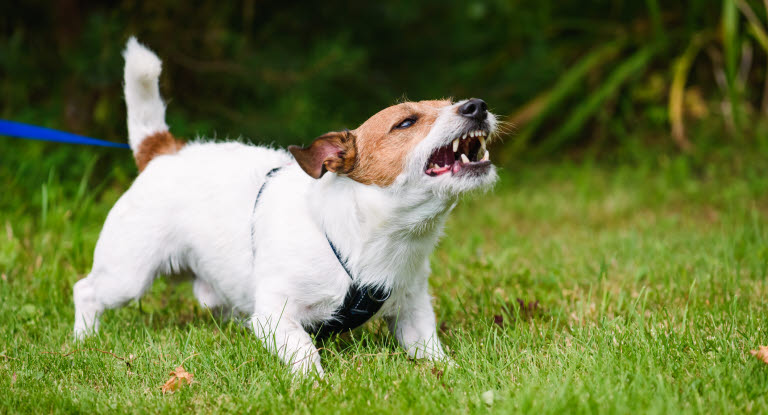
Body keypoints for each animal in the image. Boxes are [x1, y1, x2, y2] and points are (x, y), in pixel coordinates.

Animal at [72, 38, 498, 376]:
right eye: (406, 122)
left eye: (452, 103)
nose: (477, 105)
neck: (369, 237)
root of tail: (163, 151)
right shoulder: (275, 314)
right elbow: (303, 350)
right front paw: (317, 384)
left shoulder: (412, 309)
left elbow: (428, 347)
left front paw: (450, 372)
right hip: (127, 275)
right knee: (86, 290)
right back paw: (83, 340)